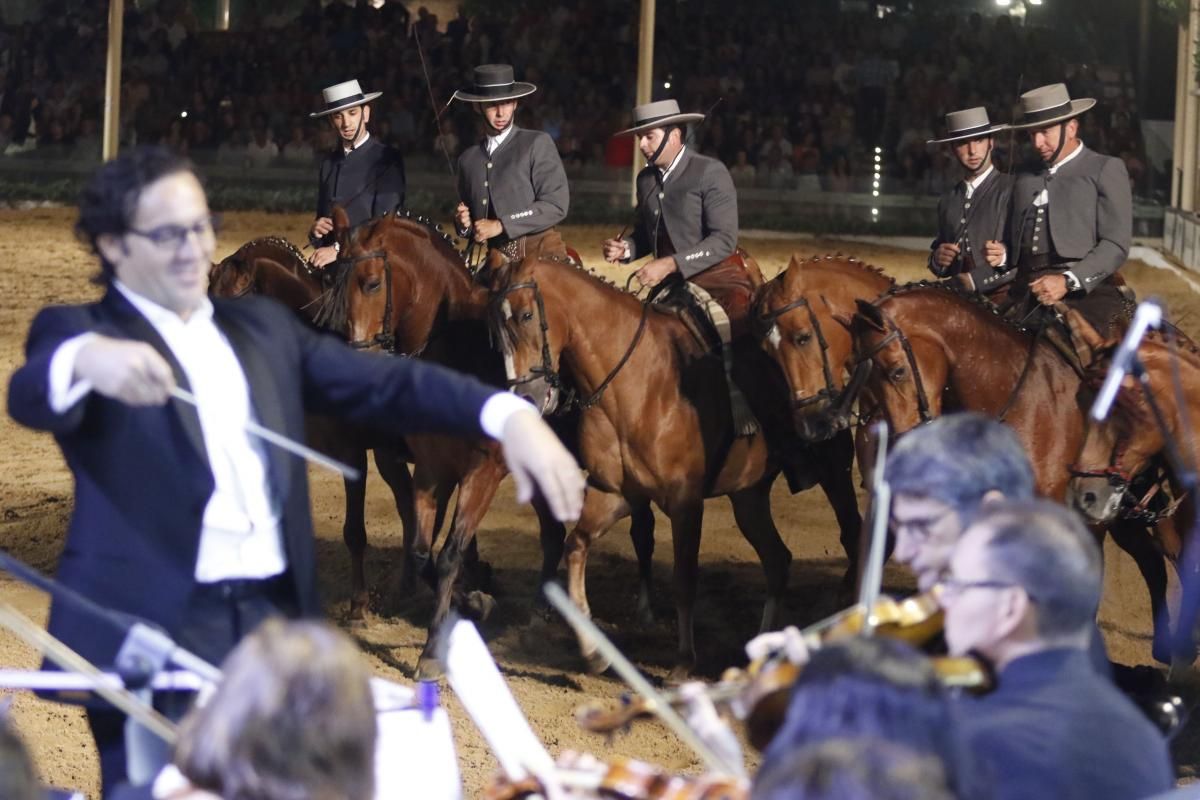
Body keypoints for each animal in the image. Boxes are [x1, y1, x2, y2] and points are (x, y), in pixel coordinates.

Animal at [324, 209, 652, 681]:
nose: (354, 361)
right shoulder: (432, 470)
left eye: (370, 283)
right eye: (333, 278)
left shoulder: (483, 473)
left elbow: (449, 554)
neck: (459, 352)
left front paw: (435, 647)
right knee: (554, 535)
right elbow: (423, 551)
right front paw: (472, 602)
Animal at [492, 255, 868, 676]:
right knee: (777, 560)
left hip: (834, 473)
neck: (634, 382)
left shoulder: (685, 502)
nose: (525, 396)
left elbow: (684, 578)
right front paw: (592, 651)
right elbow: (576, 544)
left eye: (526, 315)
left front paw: (684, 662)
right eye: (495, 326)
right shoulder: (615, 493)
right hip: (748, 496)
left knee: (850, 536)